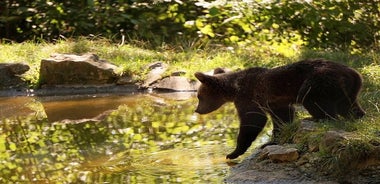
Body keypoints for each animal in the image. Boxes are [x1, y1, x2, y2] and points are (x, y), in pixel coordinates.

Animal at [196, 59, 366, 160]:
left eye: (199, 96)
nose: (197, 110)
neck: (234, 88)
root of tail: (354, 73)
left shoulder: (247, 96)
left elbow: (253, 120)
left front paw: (233, 152)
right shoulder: (274, 102)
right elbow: (282, 118)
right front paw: (271, 141)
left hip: (319, 81)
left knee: (313, 99)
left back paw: (317, 117)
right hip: (347, 90)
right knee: (349, 107)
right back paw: (357, 115)